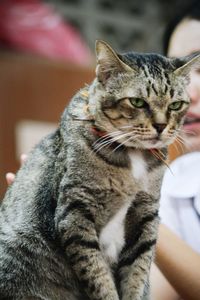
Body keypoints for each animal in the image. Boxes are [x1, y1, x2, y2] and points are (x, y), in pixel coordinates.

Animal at [0, 40, 199, 300]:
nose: (161, 126)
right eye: (137, 102)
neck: (133, 155)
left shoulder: (146, 216)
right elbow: (97, 276)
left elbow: (137, 272)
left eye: (176, 105)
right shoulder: (76, 212)